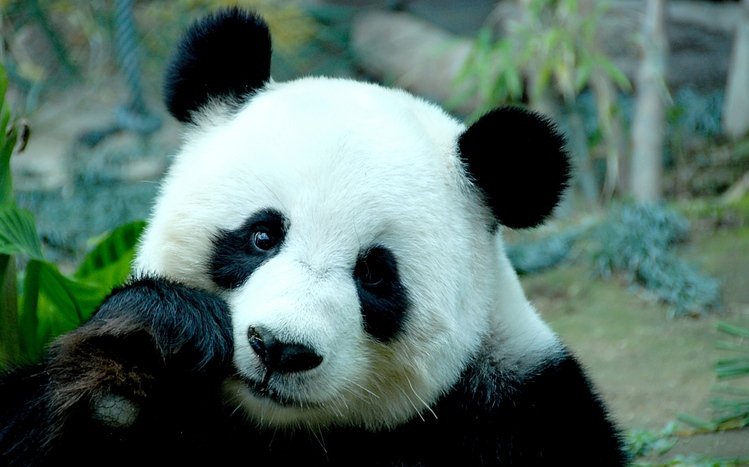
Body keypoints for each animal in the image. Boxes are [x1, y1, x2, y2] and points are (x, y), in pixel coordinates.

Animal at [0, 8, 627, 466]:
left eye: (374, 274)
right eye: (261, 236)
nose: (280, 348)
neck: (282, 429)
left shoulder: (517, 413)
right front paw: (146, 349)